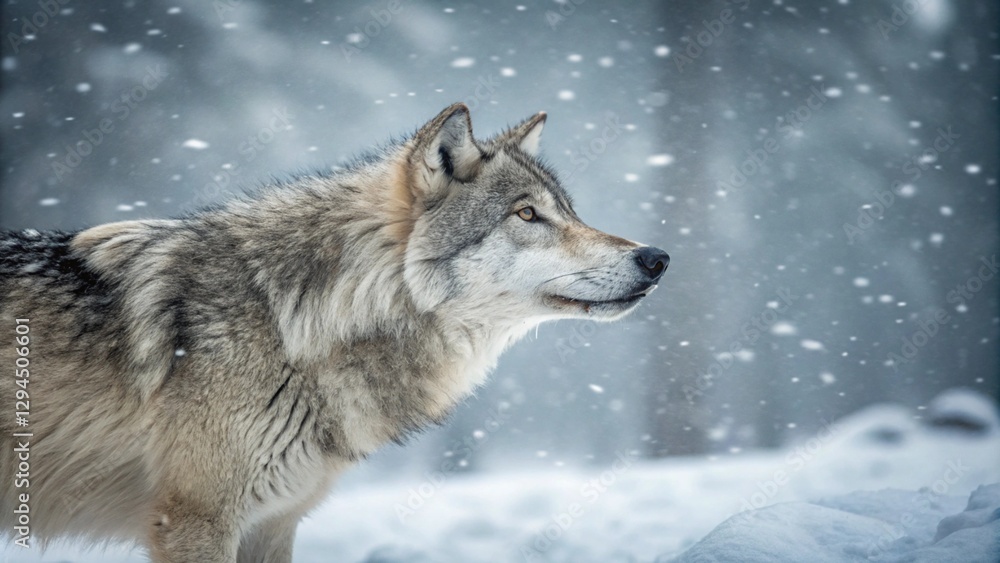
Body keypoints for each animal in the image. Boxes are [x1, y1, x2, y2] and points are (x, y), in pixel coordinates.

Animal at [0, 103, 668, 562]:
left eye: (571, 212)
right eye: (528, 214)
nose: (657, 258)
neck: (293, 325)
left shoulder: (272, 524)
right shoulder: (194, 521)